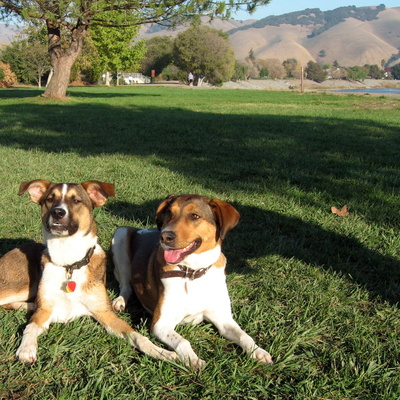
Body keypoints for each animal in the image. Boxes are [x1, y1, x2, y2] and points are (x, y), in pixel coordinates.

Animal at [0, 180, 177, 364]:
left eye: (76, 200)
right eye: (49, 199)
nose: (57, 212)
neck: (69, 263)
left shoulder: (105, 313)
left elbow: (137, 337)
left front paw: (162, 352)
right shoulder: (44, 311)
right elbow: (30, 327)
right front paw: (26, 348)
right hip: (21, 286)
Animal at [112, 194, 276, 368]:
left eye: (195, 216)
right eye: (169, 213)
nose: (164, 236)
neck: (192, 272)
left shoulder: (223, 319)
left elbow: (244, 336)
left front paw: (258, 351)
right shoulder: (160, 323)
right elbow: (183, 341)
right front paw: (193, 359)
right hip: (120, 235)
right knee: (125, 285)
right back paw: (120, 301)